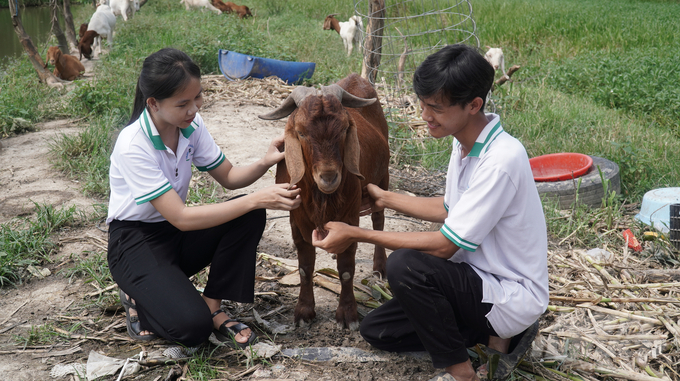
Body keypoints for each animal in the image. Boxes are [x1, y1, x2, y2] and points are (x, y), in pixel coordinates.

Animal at [258, 74, 388, 330]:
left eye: (344, 129)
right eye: (301, 132)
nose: (328, 177)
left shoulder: (350, 216)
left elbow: (346, 270)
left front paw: (347, 315)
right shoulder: (296, 219)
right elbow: (305, 267)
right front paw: (304, 311)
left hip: (383, 177)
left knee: (379, 218)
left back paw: (380, 268)